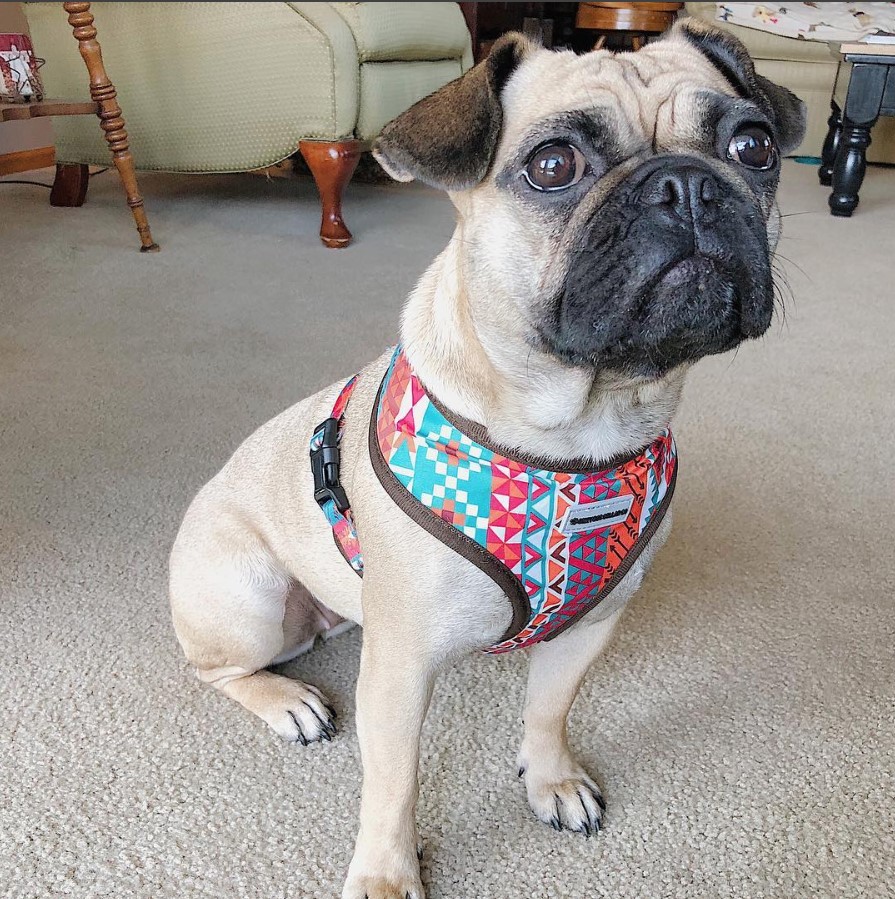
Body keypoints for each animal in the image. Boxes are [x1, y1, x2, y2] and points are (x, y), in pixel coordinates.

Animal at [166, 19, 804, 899]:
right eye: (552, 165)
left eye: (753, 146)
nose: (686, 187)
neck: (580, 433)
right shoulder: (399, 670)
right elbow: (393, 783)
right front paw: (386, 874)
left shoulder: (589, 626)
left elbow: (549, 708)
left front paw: (550, 777)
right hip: (250, 597)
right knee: (217, 669)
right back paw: (287, 700)